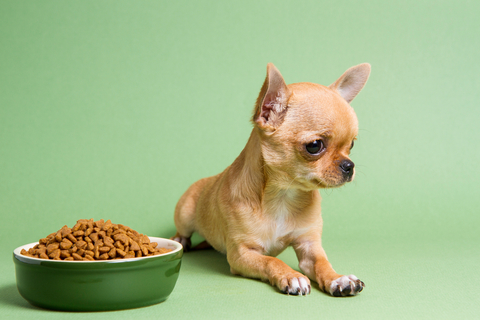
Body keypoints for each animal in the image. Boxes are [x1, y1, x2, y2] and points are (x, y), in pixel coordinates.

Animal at [172, 63, 372, 298]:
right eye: (315, 145)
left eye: (352, 145)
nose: (349, 166)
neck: (283, 196)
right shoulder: (242, 254)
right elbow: (271, 260)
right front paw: (291, 276)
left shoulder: (309, 246)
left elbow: (322, 264)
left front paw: (338, 279)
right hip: (185, 213)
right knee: (183, 231)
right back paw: (179, 241)